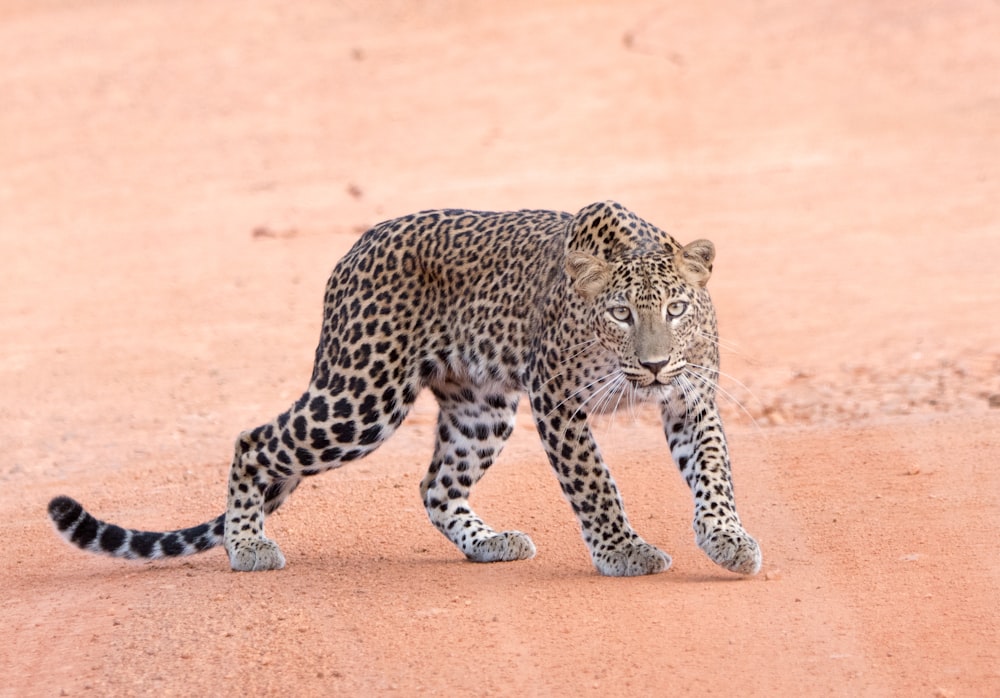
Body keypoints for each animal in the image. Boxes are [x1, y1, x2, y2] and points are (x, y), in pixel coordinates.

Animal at [47, 200, 760, 576]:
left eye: (675, 309)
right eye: (620, 314)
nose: (654, 366)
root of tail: (355, 246)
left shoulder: (692, 399)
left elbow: (715, 473)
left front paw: (727, 540)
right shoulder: (558, 401)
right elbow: (596, 484)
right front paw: (625, 551)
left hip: (481, 409)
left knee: (436, 486)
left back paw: (488, 543)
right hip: (360, 397)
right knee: (255, 441)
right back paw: (248, 544)